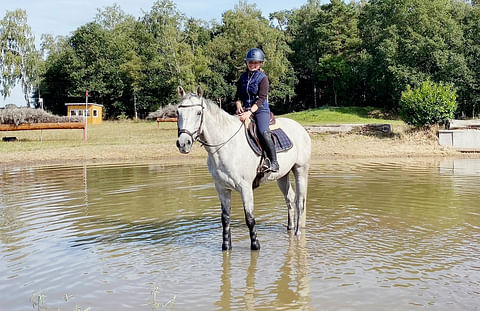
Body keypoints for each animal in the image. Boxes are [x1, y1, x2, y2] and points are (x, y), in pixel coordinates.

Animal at [176, 86, 312, 252]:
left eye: (198, 113)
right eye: (178, 112)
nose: (183, 143)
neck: (226, 145)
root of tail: (300, 128)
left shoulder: (245, 188)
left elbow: (250, 218)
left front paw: (255, 245)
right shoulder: (221, 188)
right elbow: (225, 219)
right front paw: (226, 246)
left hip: (300, 170)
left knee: (300, 201)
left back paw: (298, 232)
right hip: (282, 176)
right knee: (290, 199)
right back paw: (290, 228)